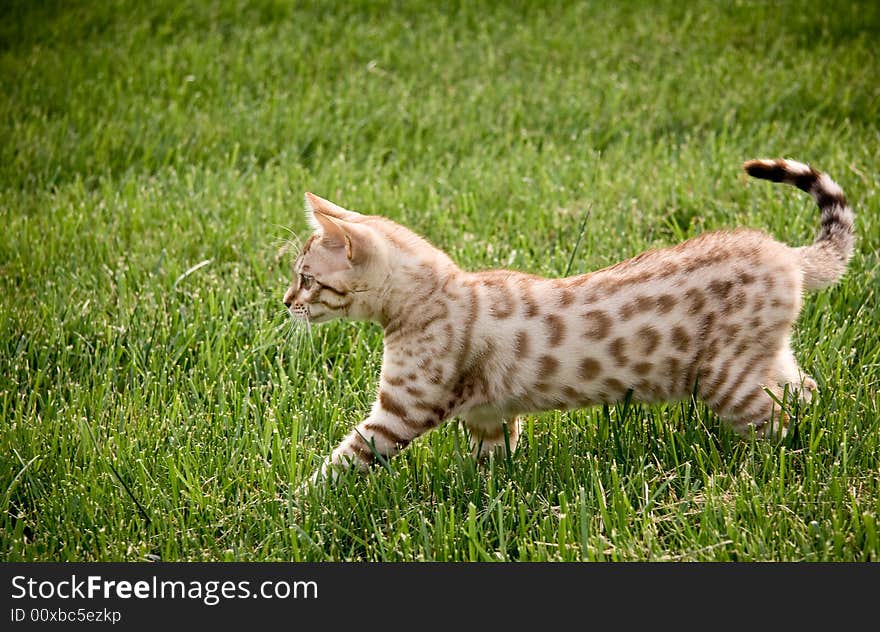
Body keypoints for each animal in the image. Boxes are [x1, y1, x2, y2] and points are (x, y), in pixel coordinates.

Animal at [288, 159, 852, 484]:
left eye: (306, 279)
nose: (285, 302)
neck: (435, 293)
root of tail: (785, 253)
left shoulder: (401, 410)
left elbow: (341, 460)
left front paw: (297, 504)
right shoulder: (489, 416)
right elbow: (489, 470)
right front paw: (486, 500)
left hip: (726, 380)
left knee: (777, 426)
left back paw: (766, 473)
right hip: (762, 362)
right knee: (806, 392)